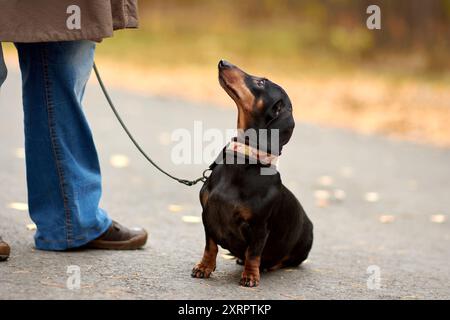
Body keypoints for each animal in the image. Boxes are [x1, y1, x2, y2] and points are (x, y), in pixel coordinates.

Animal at [192, 60, 314, 288]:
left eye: (261, 82)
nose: (222, 62)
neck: (244, 160)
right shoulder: (207, 216)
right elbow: (210, 246)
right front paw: (204, 267)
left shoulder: (259, 227)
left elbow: (254, 253)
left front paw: (250, 276)